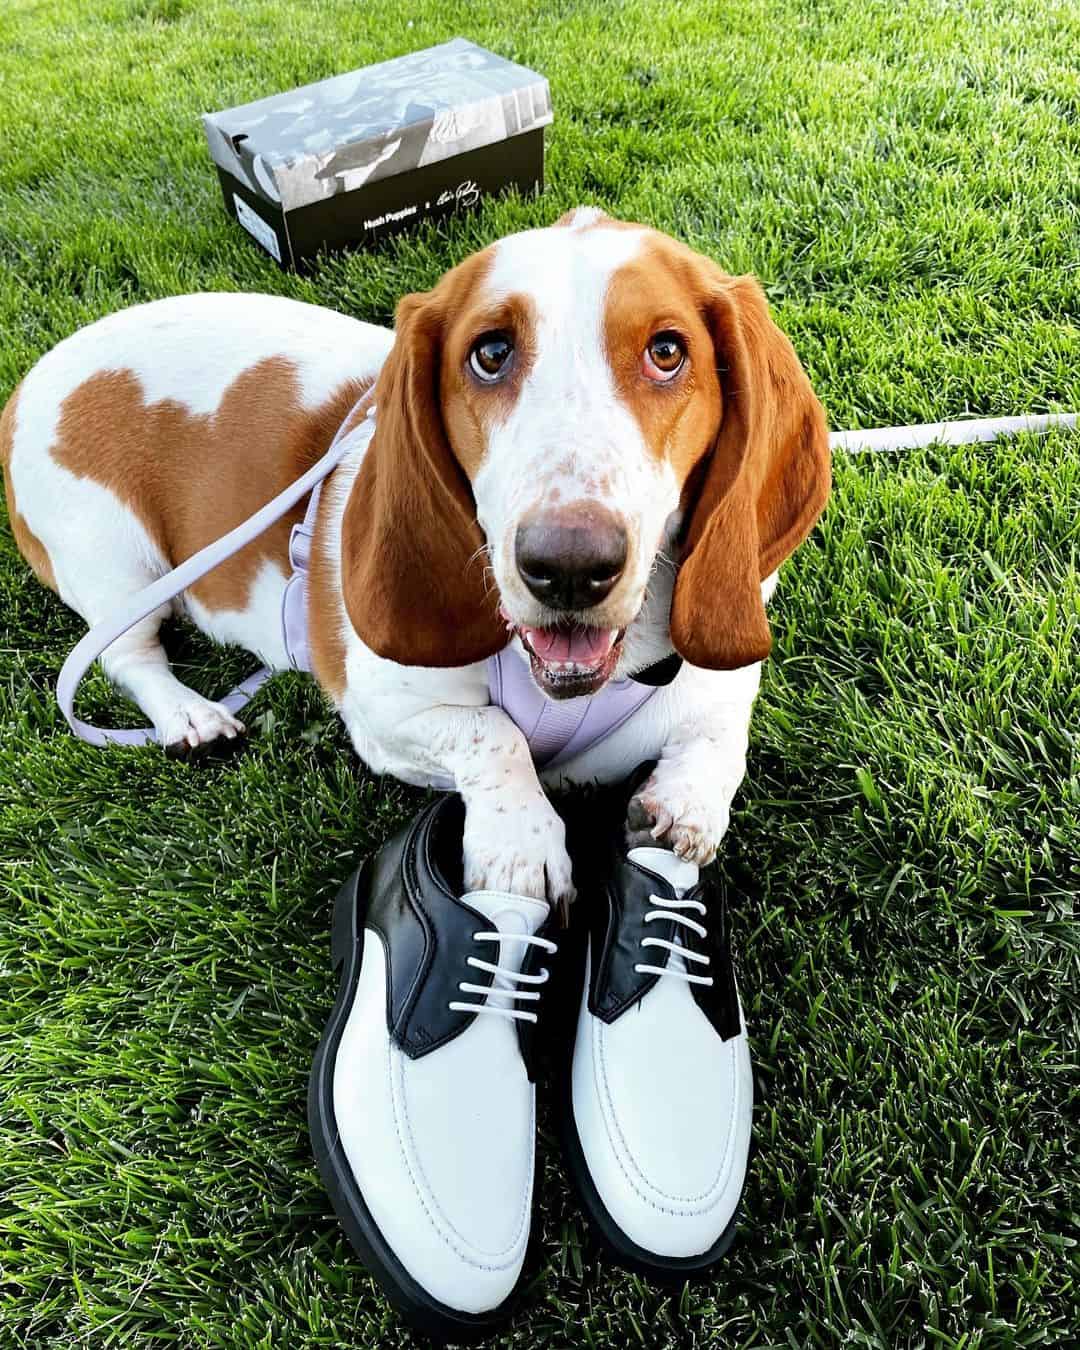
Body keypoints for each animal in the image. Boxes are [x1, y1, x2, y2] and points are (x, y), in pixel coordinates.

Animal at [0, 213, 831, 907]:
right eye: (490, 353)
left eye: (667, 351)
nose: (567, 567)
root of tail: (29, 382)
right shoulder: (380, 713)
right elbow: (491, 735)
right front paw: (520, 842)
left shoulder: (720, 673)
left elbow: (721, 737)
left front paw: (682, 806)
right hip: (116, 567)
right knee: (128, 657)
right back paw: (191, 716)